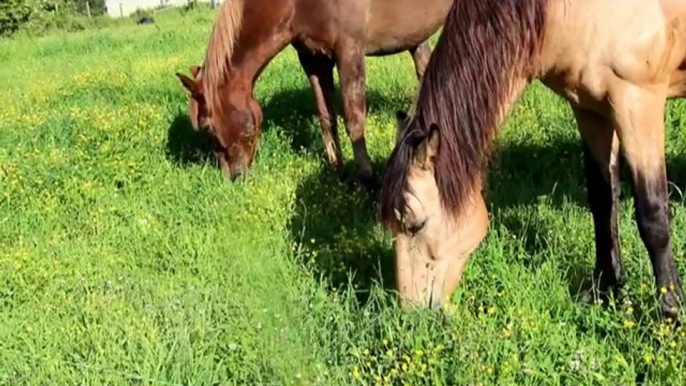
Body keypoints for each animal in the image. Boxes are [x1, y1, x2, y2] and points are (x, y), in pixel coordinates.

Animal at [176, 0, 456, 182]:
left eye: (207, 127)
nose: (233, 176)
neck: (298, 4)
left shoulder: (350, 51)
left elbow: (354, 119)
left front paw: (366, 179)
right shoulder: (313, 60)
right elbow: (326, 117)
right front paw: (337, 173)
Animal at [378, 0, 686, 322]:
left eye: (416, 224)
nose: (410, 313)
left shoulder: (637, 102)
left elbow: (653, 215)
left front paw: (671, 310)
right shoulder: (591, 110)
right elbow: (603, 202)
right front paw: (605, 287)